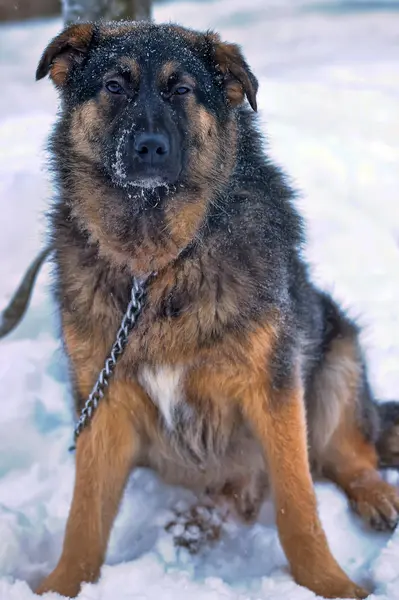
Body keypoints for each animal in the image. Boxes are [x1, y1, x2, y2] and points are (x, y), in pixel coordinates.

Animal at [32, 22, 399, 600]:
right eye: (114, 85)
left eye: (181, 90)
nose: (150, 147)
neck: (158, 265)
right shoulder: (102, 403)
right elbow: (84, 516)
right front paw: (62, 585)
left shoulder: (273, 389)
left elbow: (298, 506)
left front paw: (330, 586)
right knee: (243, 492)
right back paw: (194, 522)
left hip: (335, 362)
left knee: (352, 456)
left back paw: (377, 495)